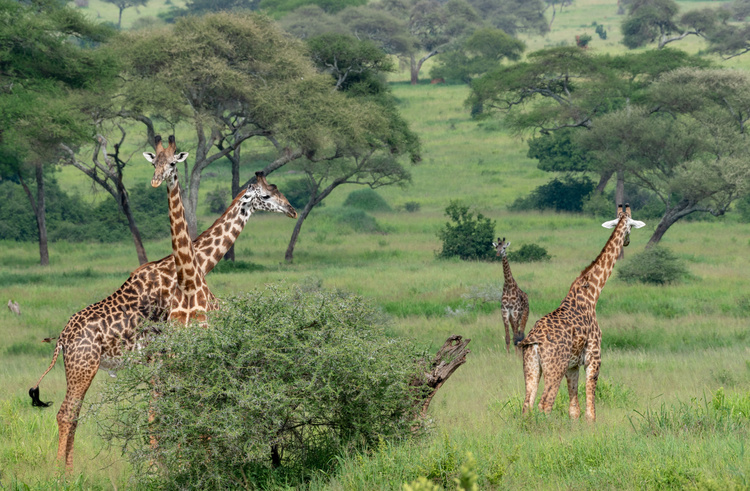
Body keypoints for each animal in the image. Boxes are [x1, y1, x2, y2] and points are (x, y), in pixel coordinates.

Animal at [516, 204, 648, 422]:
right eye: (631, 227)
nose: (627, 242)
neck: (593, 293)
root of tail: (533, 340)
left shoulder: (573, 366)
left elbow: (574, 409)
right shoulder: (594, 358)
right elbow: (590, 410)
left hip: (531, 366)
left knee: (527, 405)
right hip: (555, 367)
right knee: (545, 404)